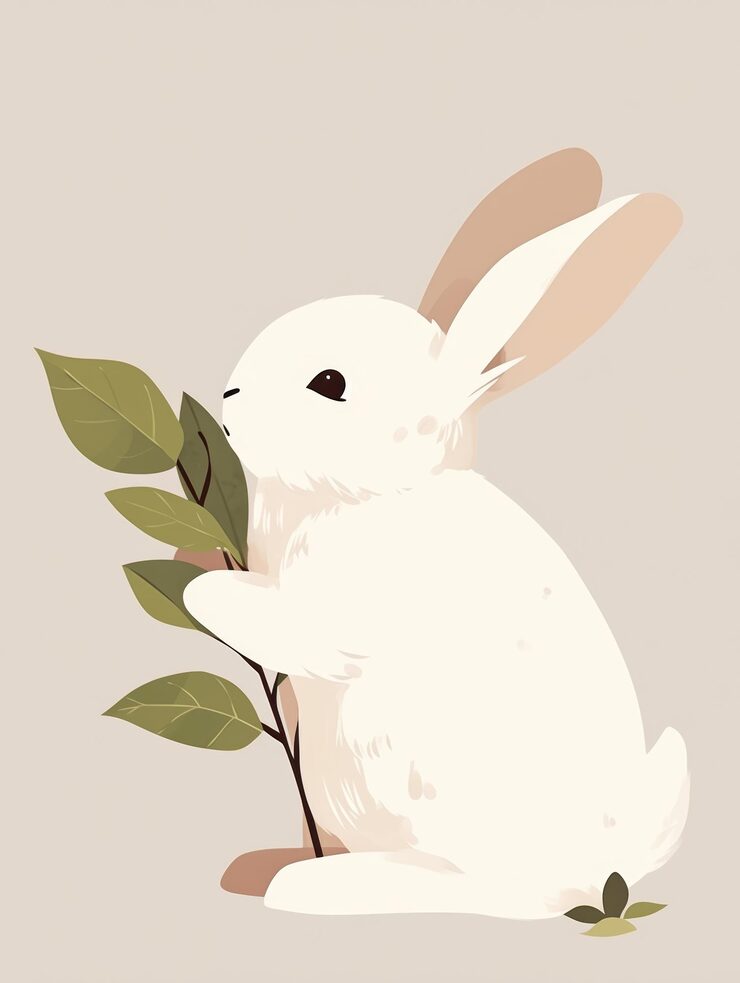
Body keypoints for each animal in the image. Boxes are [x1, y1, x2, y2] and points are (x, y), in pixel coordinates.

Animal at [183, 149, 689, 919]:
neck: (373, 491)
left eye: (329, 381)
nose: (228, 400)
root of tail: (601, 873)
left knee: (488, 889)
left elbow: (275, 619)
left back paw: (317, 884)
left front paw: (196, 584)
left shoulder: (338, 613)